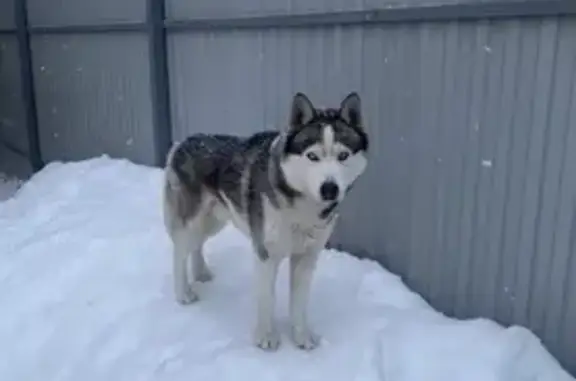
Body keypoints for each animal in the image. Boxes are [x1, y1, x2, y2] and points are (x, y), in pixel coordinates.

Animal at [162, 91, 368, 350]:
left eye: (343, 156)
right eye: (312, 156)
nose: (330, 189)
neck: (301, 207)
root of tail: (183, 142)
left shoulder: (307, 257)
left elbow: (299, 303)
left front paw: (301, 337)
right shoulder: (265, 254)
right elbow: (267, 298)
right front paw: (266, 338)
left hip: (213, 221)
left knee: (197, 245)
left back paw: (201, 274)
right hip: (191, 221)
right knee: (180, 251)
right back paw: (183, 293)